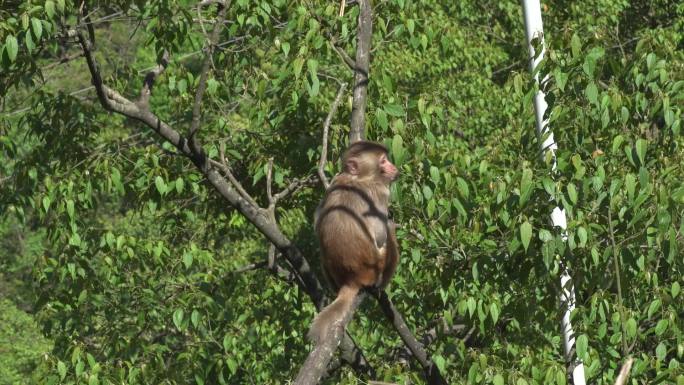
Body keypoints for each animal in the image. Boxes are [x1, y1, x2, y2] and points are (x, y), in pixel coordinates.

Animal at [310, 141, 400, 342]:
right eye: (383, 161)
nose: (394, 167)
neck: (356, 178)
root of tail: (352, 279)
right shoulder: (379, 193)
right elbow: (381, 232)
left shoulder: (335, 180)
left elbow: (317, 220)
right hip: (378, 266)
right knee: (389, 236)